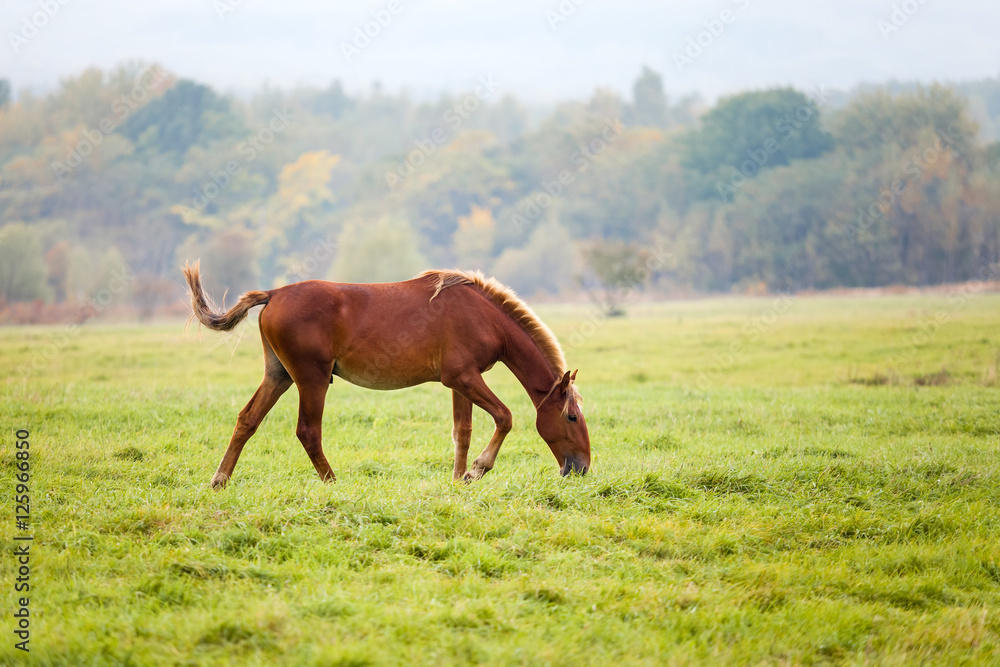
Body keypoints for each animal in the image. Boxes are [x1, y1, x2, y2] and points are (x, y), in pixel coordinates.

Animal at [182, 263, 591, 488]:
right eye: (571, 417)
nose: (582, 468)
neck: (484, 315)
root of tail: (275, 293)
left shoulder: (462, 382)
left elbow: (463, 431)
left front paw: (458, 480)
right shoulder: (464, 378)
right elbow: (504, 417)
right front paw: (477, 471)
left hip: (278, 376)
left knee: (247, 420)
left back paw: (220, 480)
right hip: (312, 380)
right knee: (308, 431)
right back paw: (332, 483)